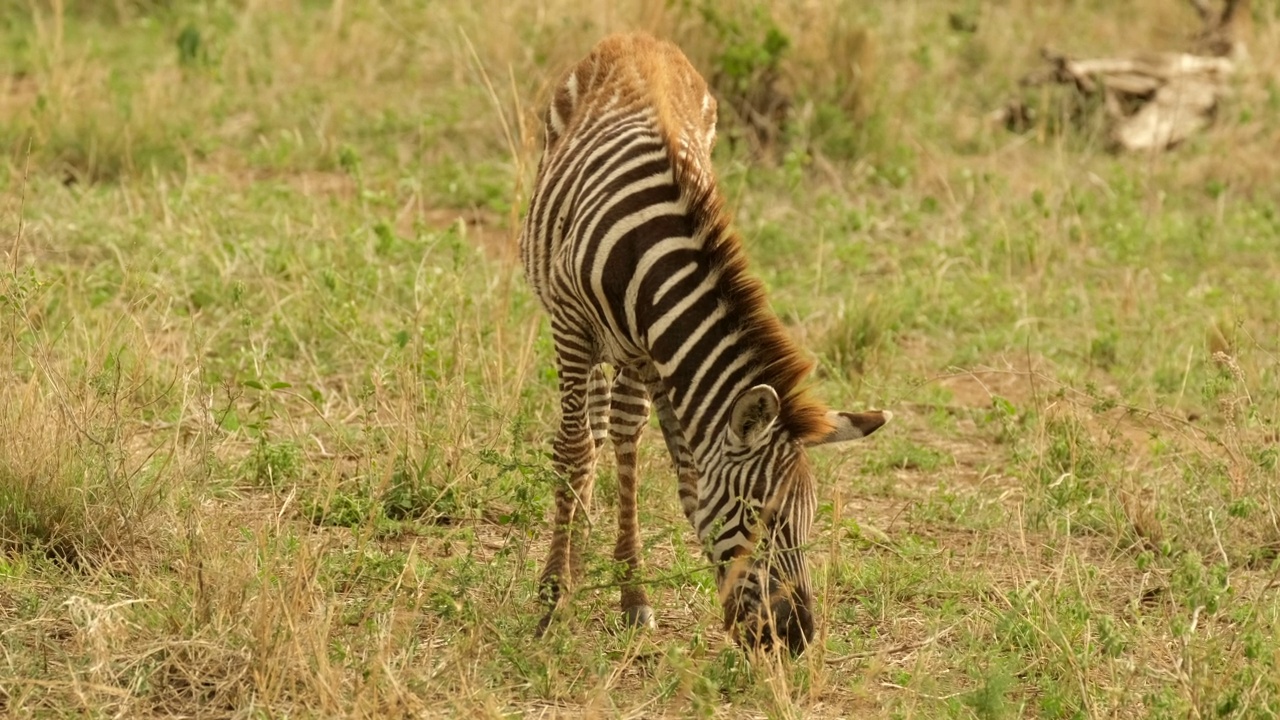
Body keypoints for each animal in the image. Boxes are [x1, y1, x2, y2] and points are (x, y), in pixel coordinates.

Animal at [519, 32, 890, 650]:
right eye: (760, 517)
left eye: (808, 522)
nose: (796, 637)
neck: (652, 260)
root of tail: (636, 39)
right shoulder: (571, 326)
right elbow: (573, 450)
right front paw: (550, 598)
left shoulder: (655, 353)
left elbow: (668, 462)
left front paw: (634, 595)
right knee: (587, 435)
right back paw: (570, 558)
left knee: (614, 430)